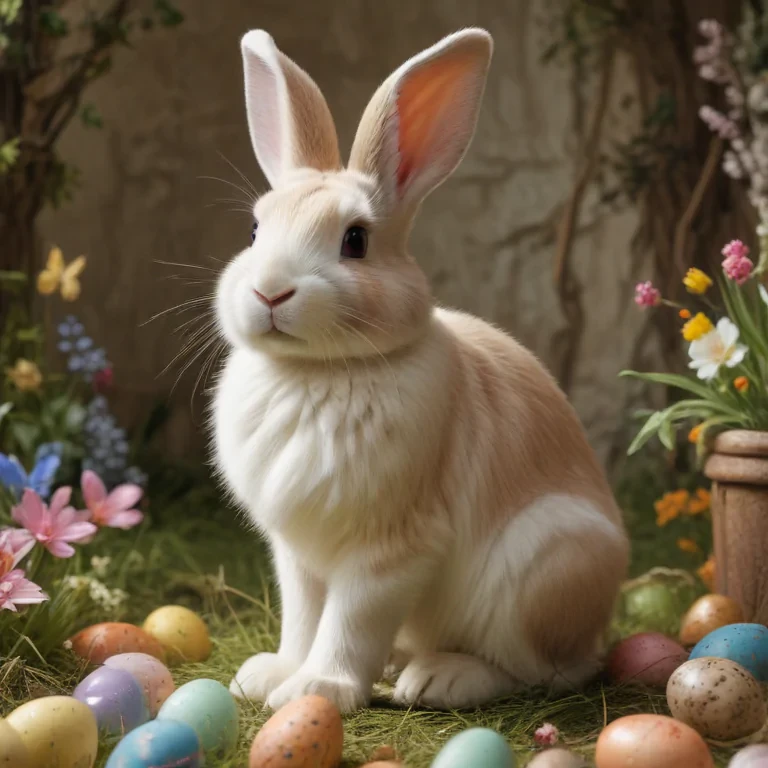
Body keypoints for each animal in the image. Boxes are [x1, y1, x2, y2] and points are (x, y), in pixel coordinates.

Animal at [213, 27, 629, 714]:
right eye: (252, 229)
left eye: (355, 240)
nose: (270, 291)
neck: (318, 373)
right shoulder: (298, 556)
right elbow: (304, 618)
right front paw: (275, 676)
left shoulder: (390, 552)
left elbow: (350, 624)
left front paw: (322, 688)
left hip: (542, 572)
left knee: (546, 671)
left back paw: (439, 678)